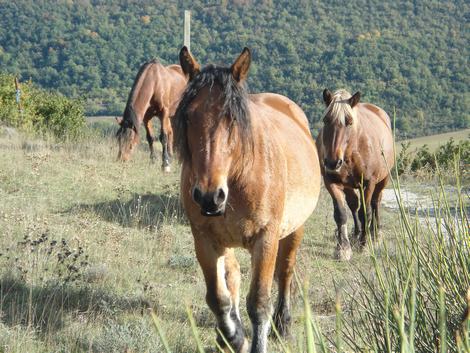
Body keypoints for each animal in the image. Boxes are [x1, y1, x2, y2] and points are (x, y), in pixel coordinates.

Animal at [174, 46, 322, 352]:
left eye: (231, 118)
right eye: (189, 116)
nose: (209, 196)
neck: (237, 178)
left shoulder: (266, 238)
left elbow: (259, 303)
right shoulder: (205, 240)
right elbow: (219, 298)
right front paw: (234, 336)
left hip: (294, 229)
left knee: (285, 272)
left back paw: (283, 325)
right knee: (232, 277)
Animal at [314, 88, 394, 258]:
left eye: (349, 122)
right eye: (326, 120)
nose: (333, 162)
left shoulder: (368, 183)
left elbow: (365, 212)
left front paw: (364, 245)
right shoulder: (332, 183)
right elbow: (341, 214)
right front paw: (343, 248)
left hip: (382, 180)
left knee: (375, 203)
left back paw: (375, 235)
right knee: (353, 205)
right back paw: (356, 234)